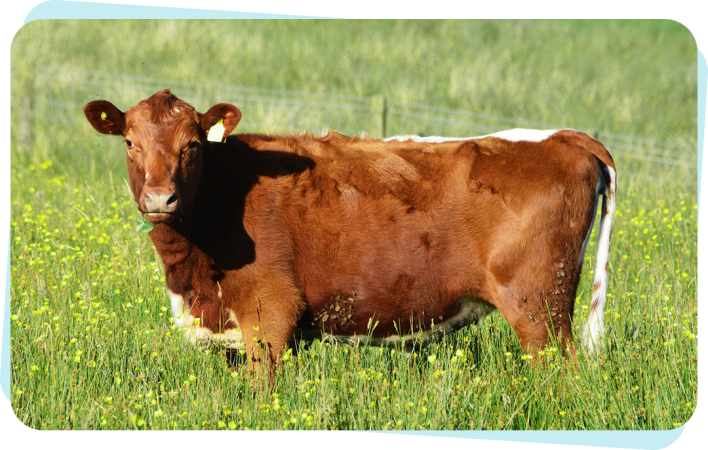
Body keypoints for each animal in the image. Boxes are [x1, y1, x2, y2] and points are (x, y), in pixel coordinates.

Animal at [83, 89, 612, 380]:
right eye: (129, 142)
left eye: (192, 145)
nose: (159, 199)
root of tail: (567, 136)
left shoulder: (269, 314)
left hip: (539, 309)